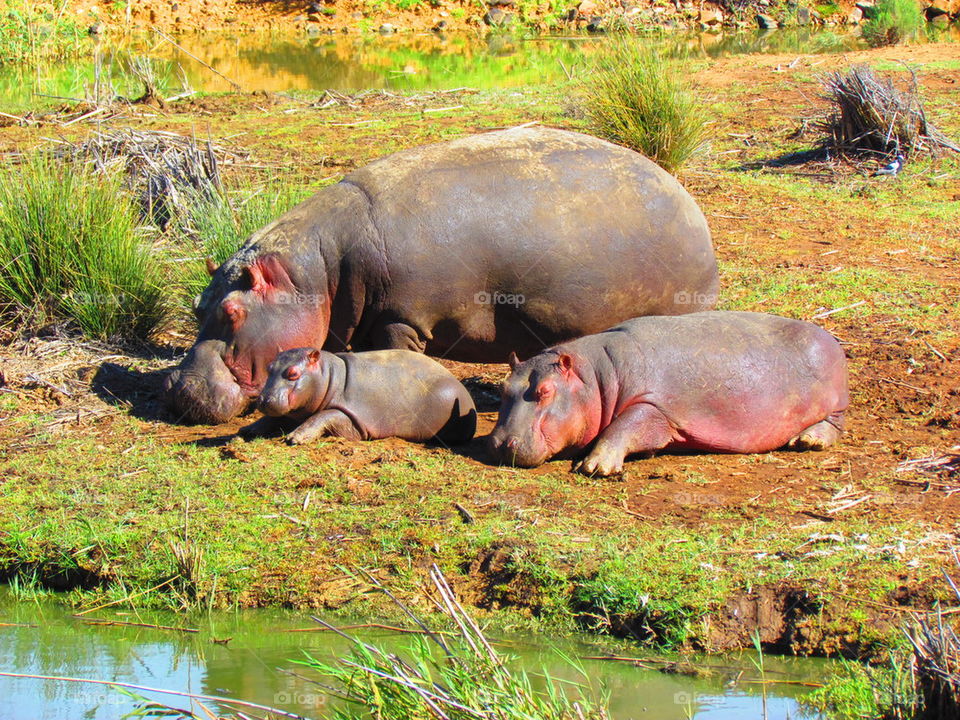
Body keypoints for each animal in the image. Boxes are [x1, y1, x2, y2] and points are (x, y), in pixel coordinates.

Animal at [165, 127, 718, 424]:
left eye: (233, 311)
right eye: (197, 305)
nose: (176, 389)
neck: (314, 273)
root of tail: (689, 203)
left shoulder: (401, 319)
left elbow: (393, 355)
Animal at [241, 348, 477, 445]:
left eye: (293, 373)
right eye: (269, 367)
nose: (263, 400)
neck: (329, 375)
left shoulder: (354, 417)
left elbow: (323, 416)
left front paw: (295, 438)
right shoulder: (294, 410)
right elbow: (274, 417)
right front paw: (247, 430)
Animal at [488, 312, 848, 476]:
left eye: (545, 391)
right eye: (504, 387)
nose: (499, 443)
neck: (595, 377)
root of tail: (829, 337)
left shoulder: (653, 405)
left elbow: (624, 427)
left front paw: (594, 467)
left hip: (835, 403)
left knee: (833, 425)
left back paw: (808, 441)